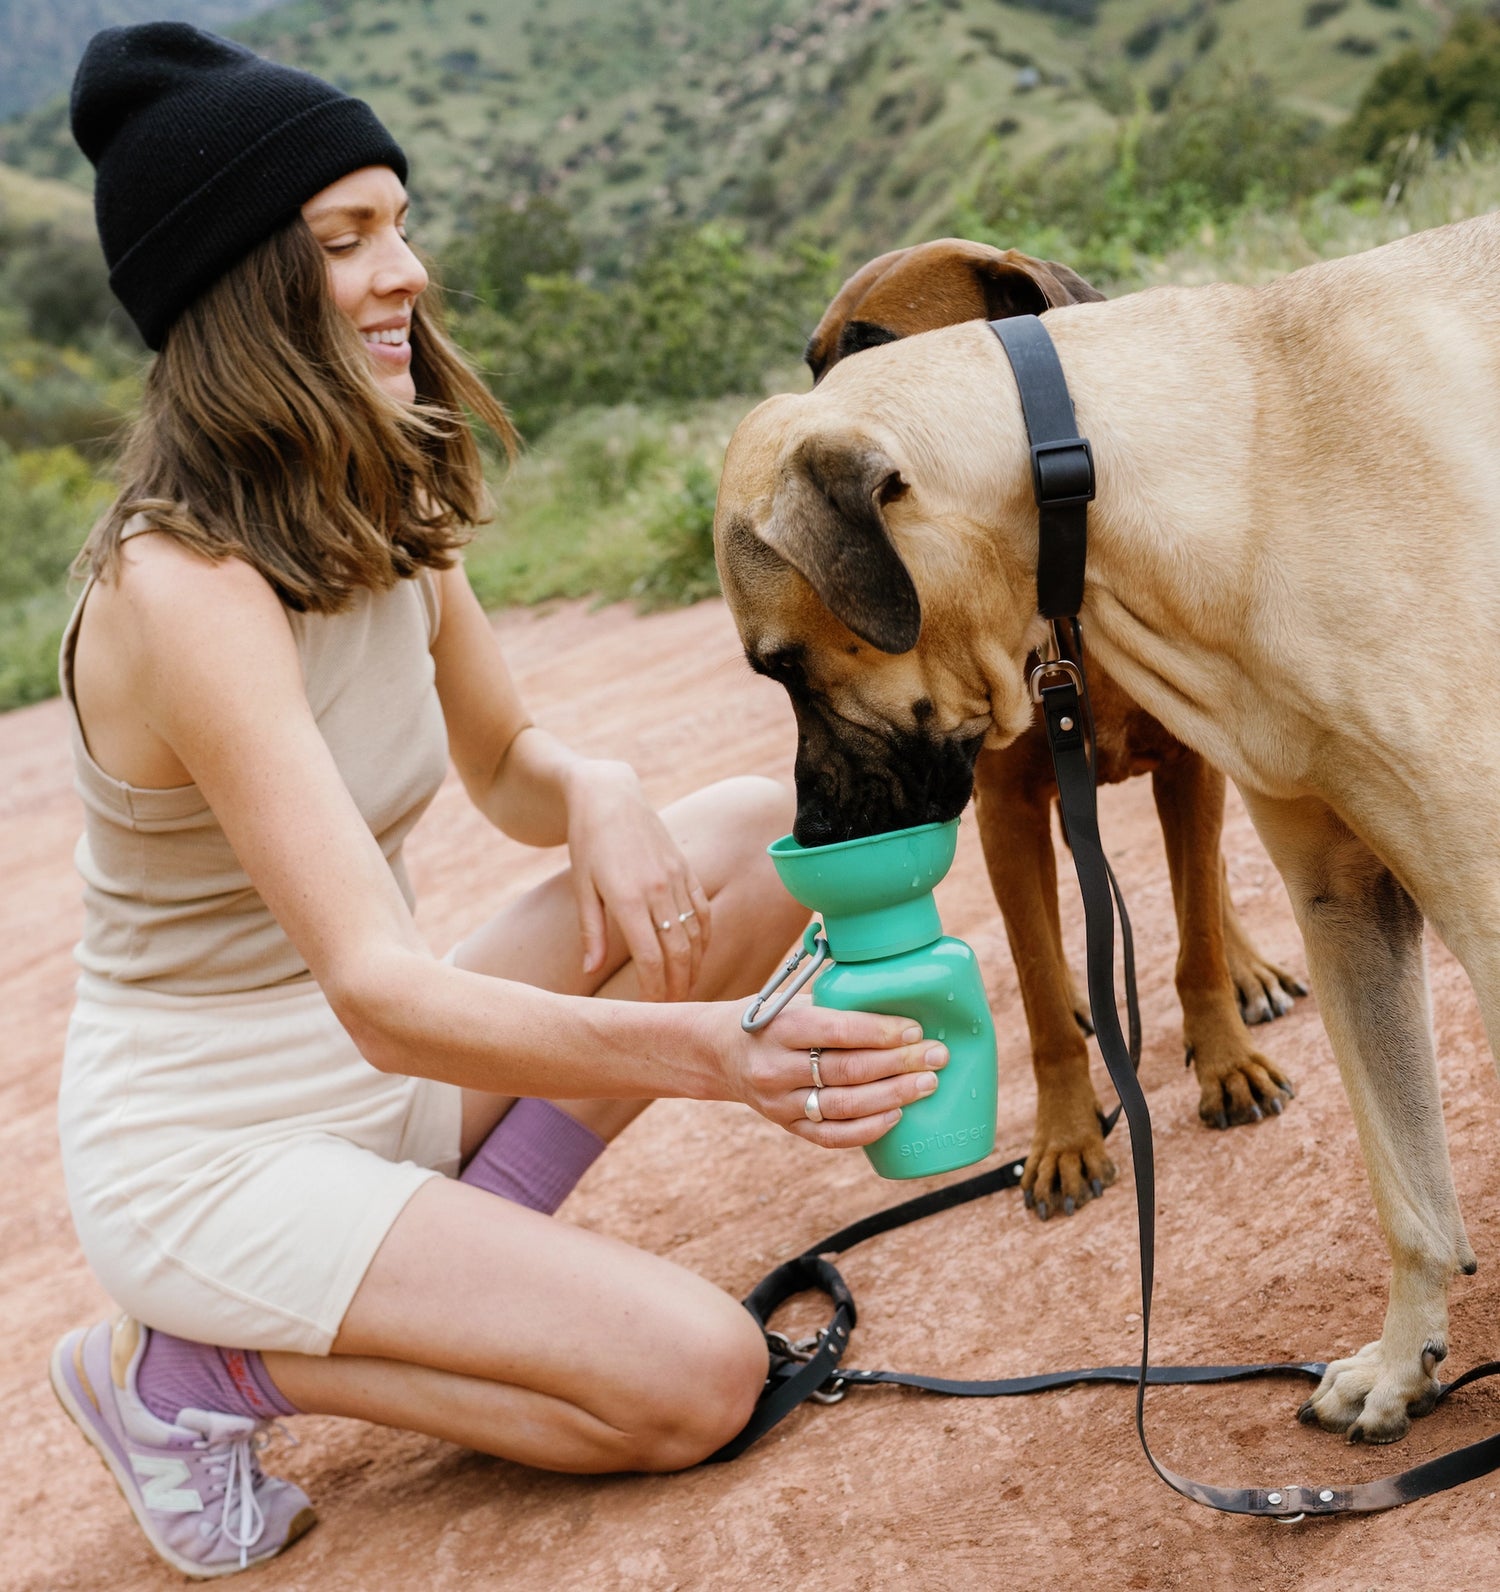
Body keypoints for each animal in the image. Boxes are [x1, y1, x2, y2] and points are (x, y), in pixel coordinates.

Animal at [805, 238, 1312, 1216]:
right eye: (808, 367)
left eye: (875, 356)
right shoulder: (1006, 814)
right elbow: (1040, 993)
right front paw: (1067, 1138)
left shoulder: (1188, 768)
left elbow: (1194, 938)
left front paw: (1226, 1061)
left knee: (1206, 886)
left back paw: (1247, 974)